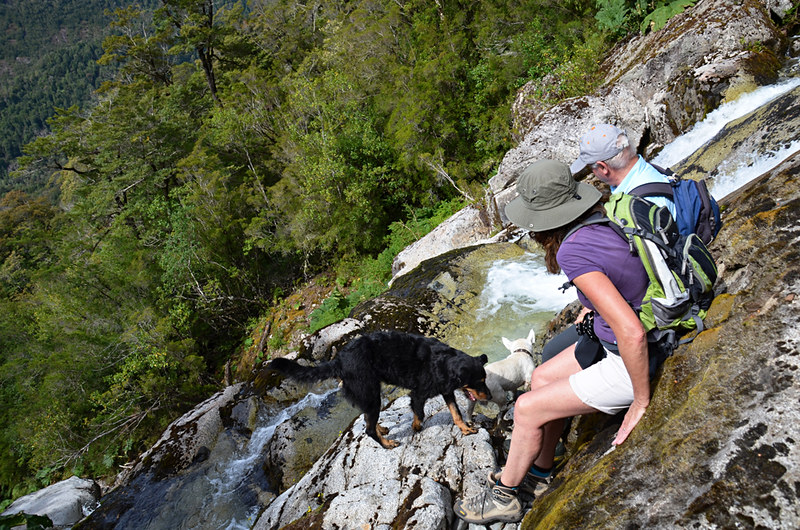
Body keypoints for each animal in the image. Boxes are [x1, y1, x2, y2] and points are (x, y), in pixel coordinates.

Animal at [272, 330, 490, 446]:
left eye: (484, 379)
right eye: (478, 382)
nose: (488, 396)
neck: (444, 363)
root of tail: (338, 361)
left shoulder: (446, 391)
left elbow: (456, 412)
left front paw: (465, 429)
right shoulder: (418, 394)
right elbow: (419, 413)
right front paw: (416, 427)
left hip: (368, 395)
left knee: (367, 419)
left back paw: (381, 429)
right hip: (371, 393)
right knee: (368, 429)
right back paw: (387, 444)